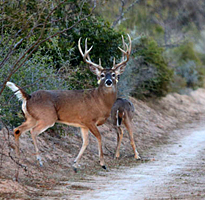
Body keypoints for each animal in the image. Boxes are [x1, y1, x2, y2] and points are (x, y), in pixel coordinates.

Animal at [6, 33, 132, 171]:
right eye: (102, 75)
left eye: (114, 74)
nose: (109, 81)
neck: (100, 101)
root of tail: (28, 97)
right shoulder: (89, 120)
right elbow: (99, 137)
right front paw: (103, 163)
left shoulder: (83, 124)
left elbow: (86, 142)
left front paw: (75, 164)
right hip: (47, 117)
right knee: (33, 132)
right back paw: (39, 160)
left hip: (31, 117)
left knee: (17, 130)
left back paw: (19, 159)